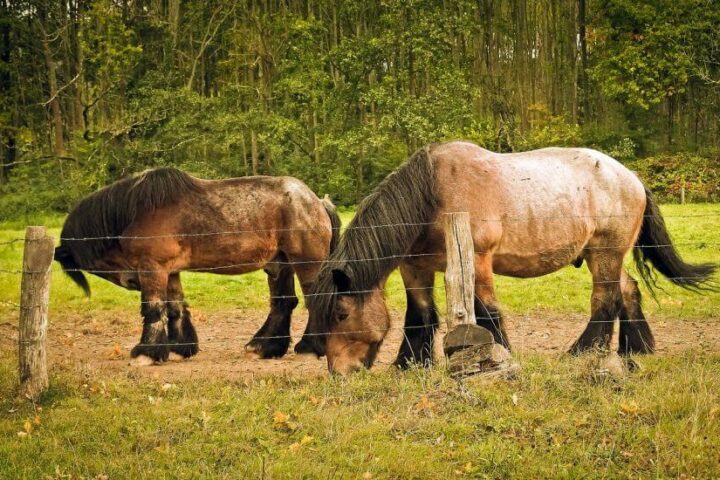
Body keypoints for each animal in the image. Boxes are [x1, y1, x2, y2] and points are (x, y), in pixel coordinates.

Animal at [53, 167, 340, 362]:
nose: (131, 280)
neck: (136, 214)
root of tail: (317, 201)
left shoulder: (152, 268)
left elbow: (153, 309)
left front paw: (146, 352)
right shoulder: (169, 271)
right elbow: (175, 308)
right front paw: (180, 348)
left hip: (306, 262)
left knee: (314, 299)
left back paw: (308, 347)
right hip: (279, 264)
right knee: (283, 302)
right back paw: (264, 347)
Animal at [296, 140, 716, 376]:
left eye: (340, 314)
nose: (340, 373)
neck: (432, 192)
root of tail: (632, 177)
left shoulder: (478, 261)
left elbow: (489, 312)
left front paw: (500, 356)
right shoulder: (415, 267)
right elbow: (420, 316)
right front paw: (408, 365)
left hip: (605, 253)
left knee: (605, 299)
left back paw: (582, 352)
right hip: (607, 255)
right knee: (627, 291)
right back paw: (636, 348)